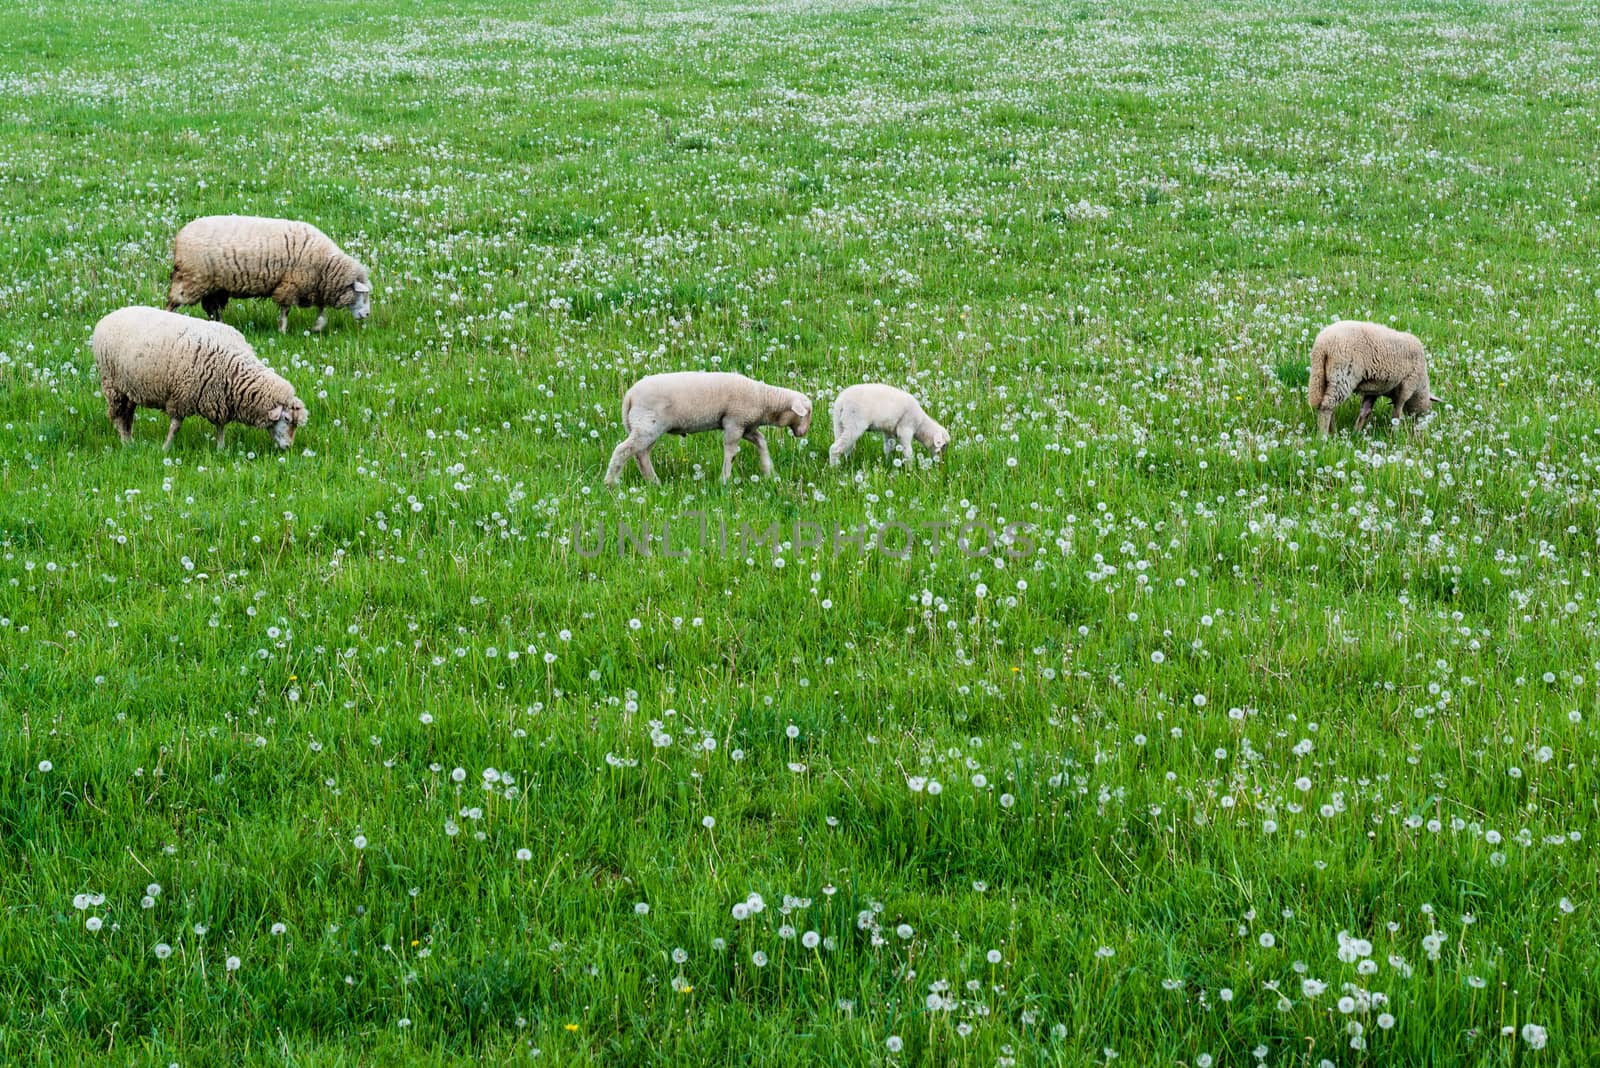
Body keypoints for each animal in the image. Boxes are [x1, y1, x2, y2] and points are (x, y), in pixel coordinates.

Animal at [92, 303, 310, 450]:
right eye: (287, 419)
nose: (288, 447)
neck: (236, 369)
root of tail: (107, 317)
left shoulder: (220, 398)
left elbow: (221, 426)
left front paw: (220, 449)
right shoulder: (181, 396)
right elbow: (175, 426)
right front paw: (166, 448)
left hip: (129, 387)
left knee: (128, 415)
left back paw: (130, 440)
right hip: (113, 385)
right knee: (119, 416)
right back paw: (126, 443)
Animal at [166, 214, 374, 334]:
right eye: (361, 294)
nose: (367, 314)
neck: (327, 265)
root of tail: (180, 236)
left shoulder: (314, 286)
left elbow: (321, 310)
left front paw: (317, 326)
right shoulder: (292, 284)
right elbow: (285, 310)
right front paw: (282, 331)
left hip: (214, 286)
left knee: (212, 308)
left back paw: (220, 325)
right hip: (192, 279)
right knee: (174, 301)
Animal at [604, 369, 819, 482]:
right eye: (808, 412)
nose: (803, 433)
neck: (764, 399)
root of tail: (629, 395)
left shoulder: (746, 426)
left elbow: (761, 441)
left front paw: (768, 471)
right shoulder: (734, 423)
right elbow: (731, 451)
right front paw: (725, 479)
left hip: (647, 428)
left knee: (641, 454)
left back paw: (653, 482)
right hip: (647, 426)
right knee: (623, 450)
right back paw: (611, 482)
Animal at [1305, 319, 1446, 434]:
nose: (1418, 425)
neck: (1420, 387)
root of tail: (1322, 346)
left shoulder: (1374, 390)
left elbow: (1365, 411)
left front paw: (1356, 432)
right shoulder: (1408, 384)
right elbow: (1397, 411)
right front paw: (1395, 432)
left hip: (1322, 377)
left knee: (1329, 404)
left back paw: (1333, 432)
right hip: (1343, 375)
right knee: (1327, 406)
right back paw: (1323, 436)